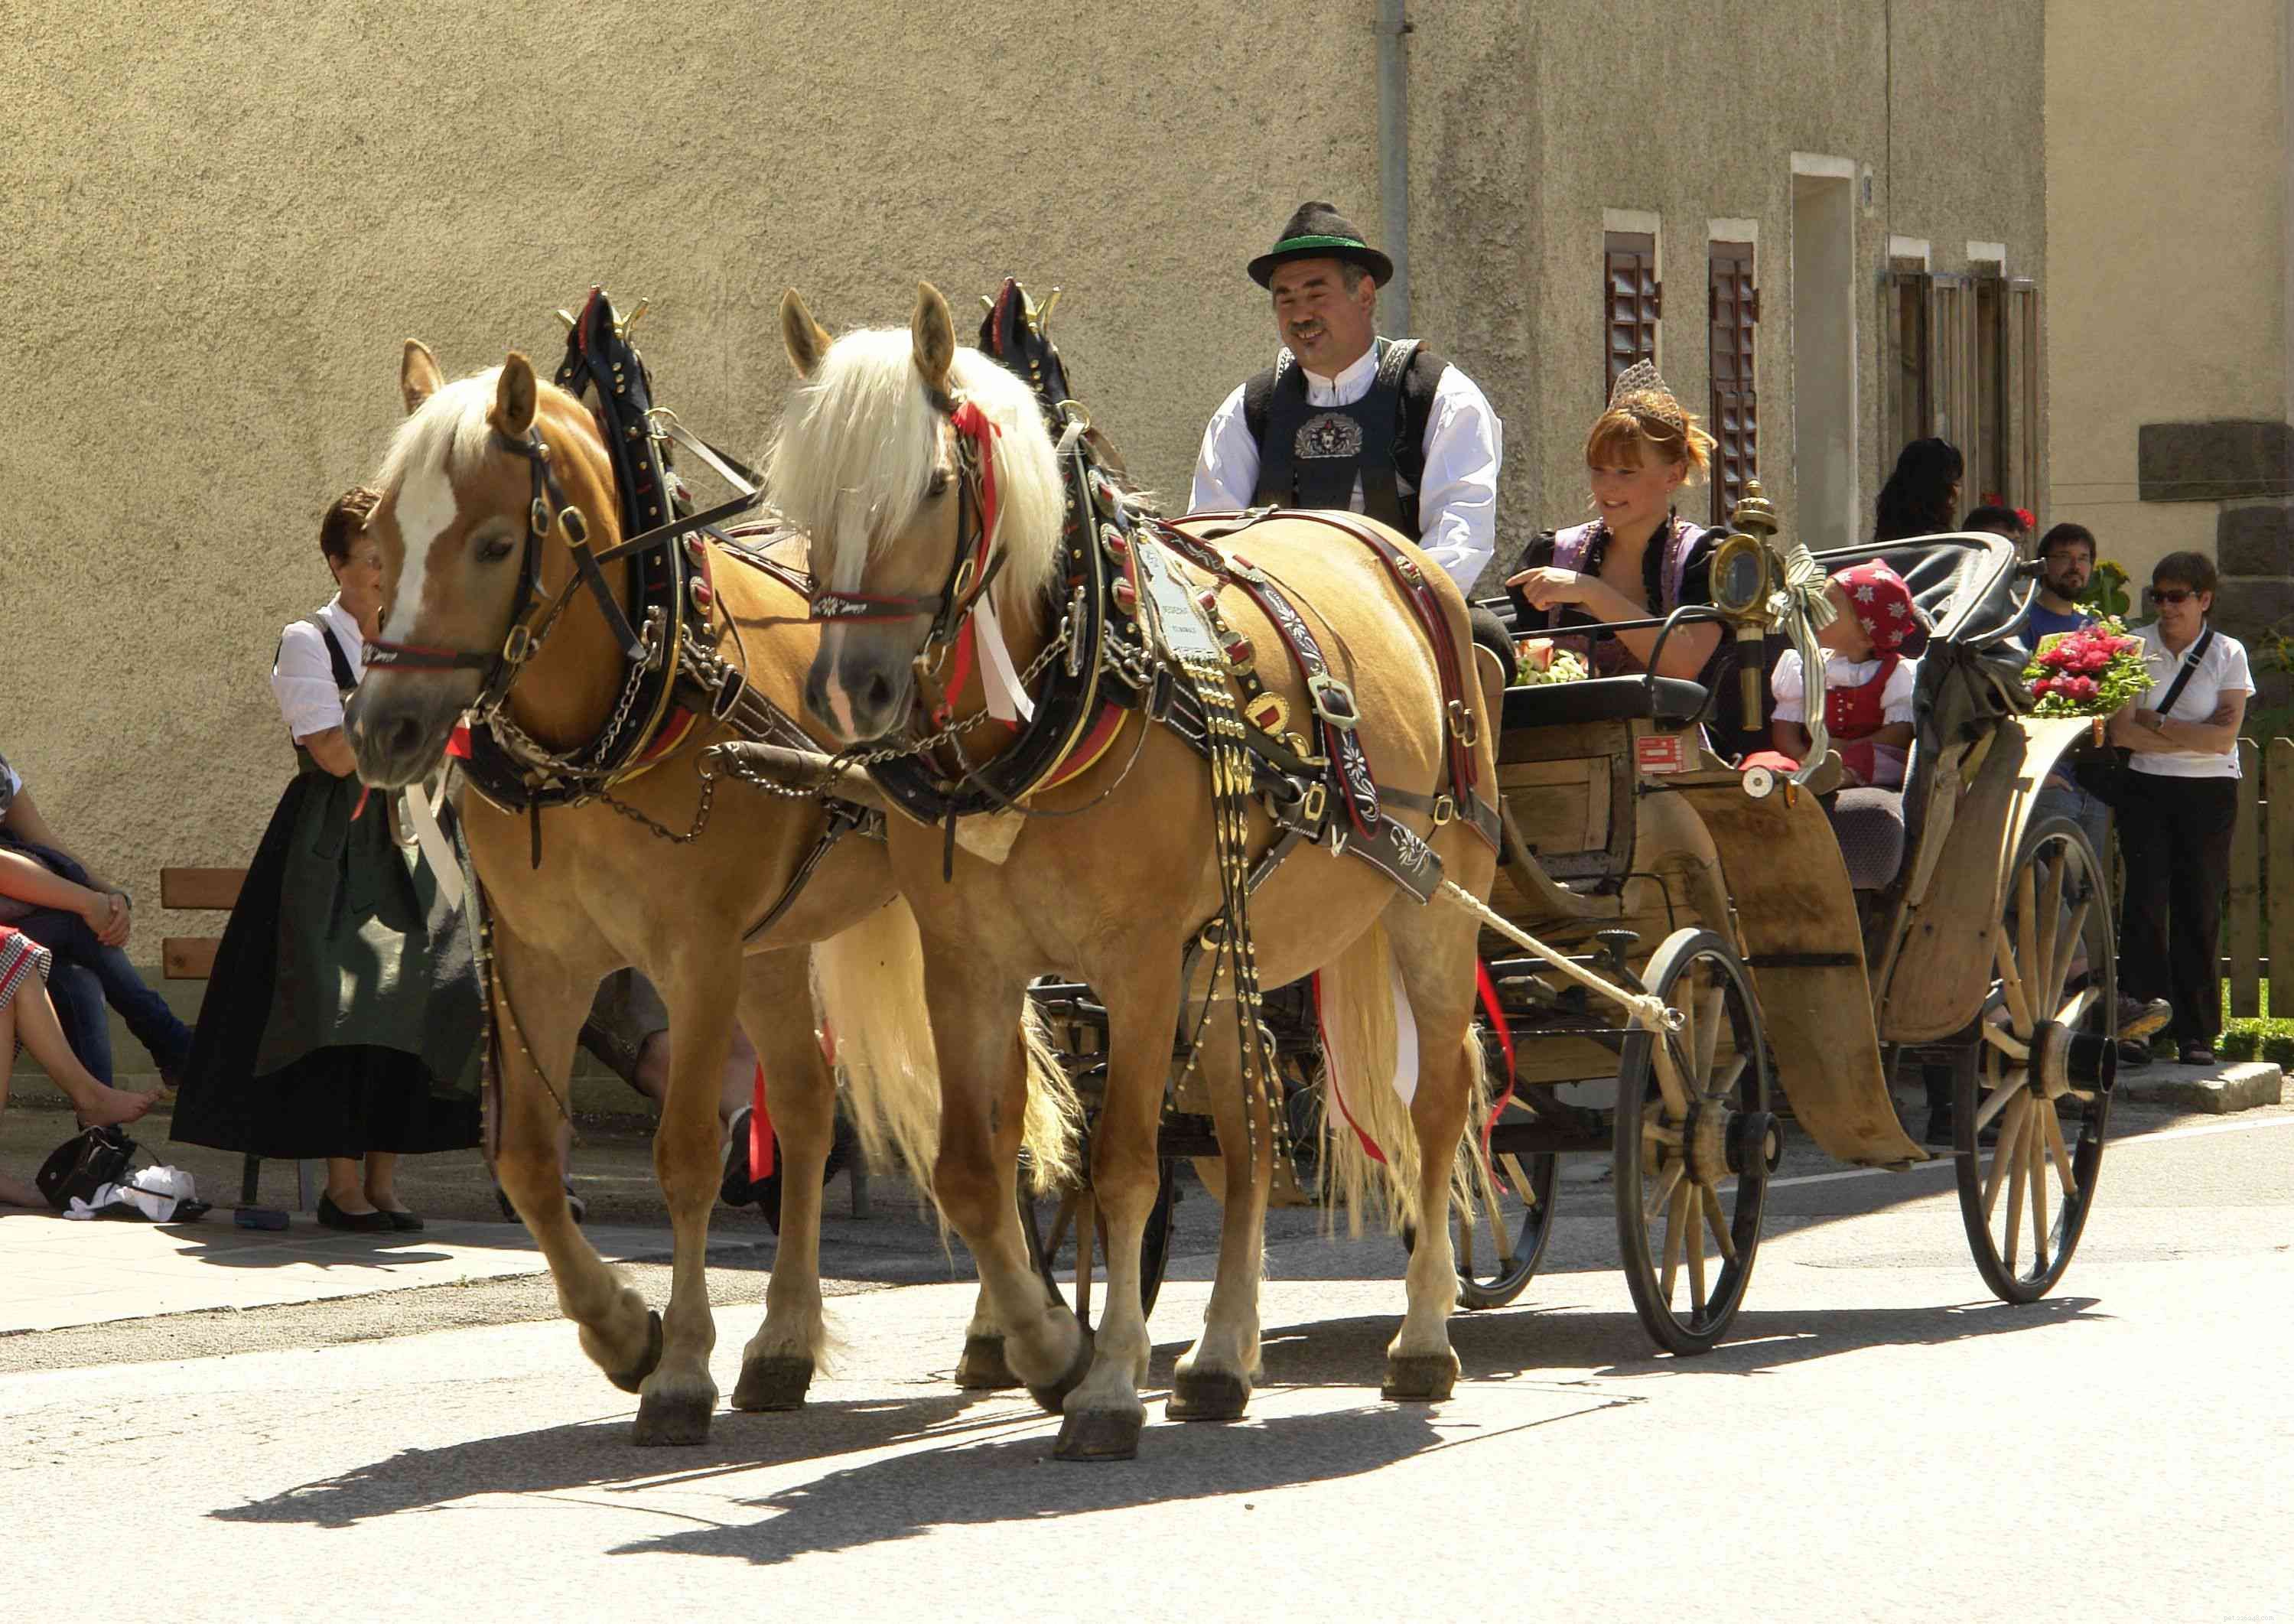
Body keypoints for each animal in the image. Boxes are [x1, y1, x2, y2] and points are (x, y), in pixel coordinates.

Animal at [344, 338, 1077, 1446]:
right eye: (383, 537)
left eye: (490, 543)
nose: (382, 728)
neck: (619, 708)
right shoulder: (538, 958)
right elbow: (524, 1157)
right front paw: (620, 1331)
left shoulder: (697, 955)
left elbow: (687, 1151)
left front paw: (680, 1366)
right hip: (778, 943)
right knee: (811, 1111)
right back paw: (785, 1341)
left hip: (934, 929)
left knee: (995, 1109)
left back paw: (1000, 1327)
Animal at [766, 282, 1503, 1460]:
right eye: (802, 497)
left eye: (933, 485)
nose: (850, 690)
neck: (1073, 684)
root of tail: (1396, 554)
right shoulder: (967, 966)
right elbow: (976, 1168)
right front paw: (1045, 1346)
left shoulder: (1142, 965)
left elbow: (1120, 1165)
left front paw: (1107, 1380)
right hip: (1238, 951)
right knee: (1249, 1135)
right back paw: (1220, 1356)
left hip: (1427, 910)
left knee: (1436, 1103)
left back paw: (1423, 1336)